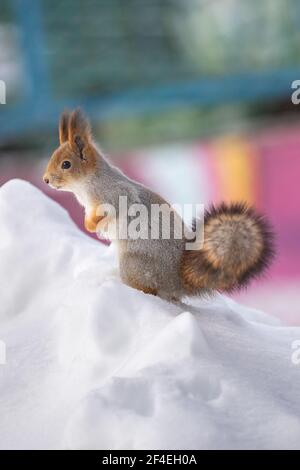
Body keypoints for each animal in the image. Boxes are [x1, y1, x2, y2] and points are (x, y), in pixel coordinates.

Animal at [42, 109, 274, 302]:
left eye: (66, 164)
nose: (45, 180)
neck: (86, 184)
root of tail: (178, 282)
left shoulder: (115, 193)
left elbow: (115, 208)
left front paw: (92, 225)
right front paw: (89, 222)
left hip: (134, 265)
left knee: (150, 290)